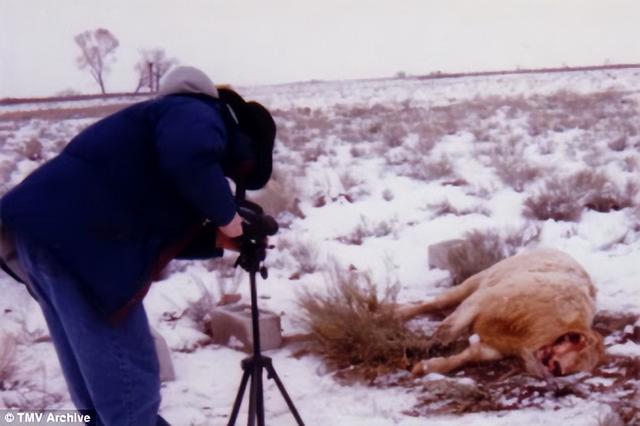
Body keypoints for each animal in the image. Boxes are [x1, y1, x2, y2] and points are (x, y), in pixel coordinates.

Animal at [398, 248, 604, 378]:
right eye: (574, 343)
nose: (554, 370)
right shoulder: (481, 299)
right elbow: (448, 330)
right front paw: (423, 349)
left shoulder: (497, 348)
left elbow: (469, 356)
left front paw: (427, 367)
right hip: (477, 280)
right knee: (435, 303)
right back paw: (397, 312)